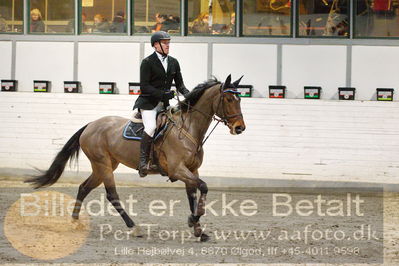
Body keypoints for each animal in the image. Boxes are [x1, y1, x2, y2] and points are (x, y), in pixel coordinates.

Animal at [25, 74, 247, 241]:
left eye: (240, 99)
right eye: (228, 100)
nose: (240, 128)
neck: (188, 128)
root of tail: (91, 125)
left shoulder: (192, 170)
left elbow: (193, 194)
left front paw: (198, 229)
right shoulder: (178, 170)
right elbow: (204, 187)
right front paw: (194, 220)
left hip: (104, 165)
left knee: (84, 188)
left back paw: (74, 222)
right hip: (103, 165)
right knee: (112, 195)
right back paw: (134, 227)